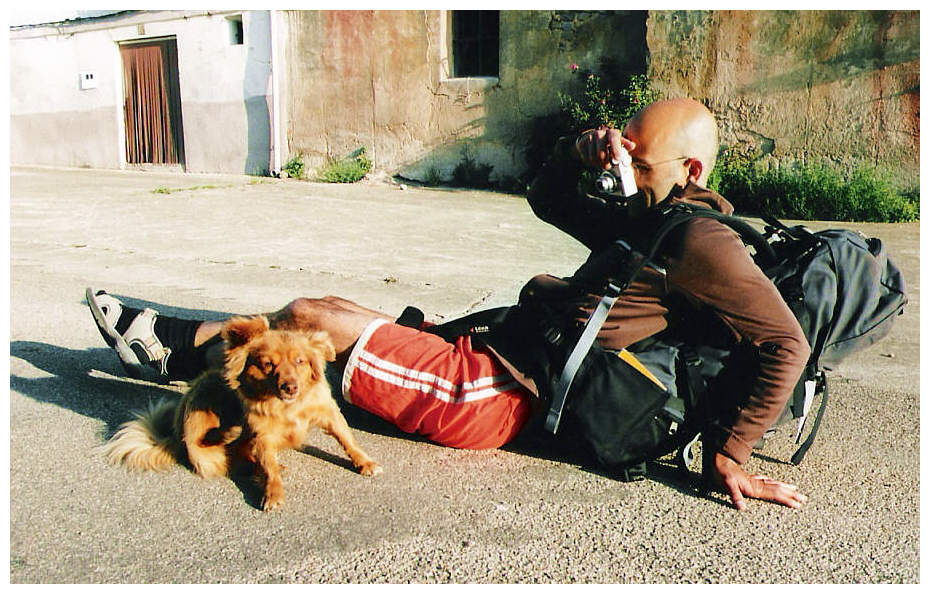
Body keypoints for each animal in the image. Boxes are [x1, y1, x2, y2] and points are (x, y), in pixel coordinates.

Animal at [101, 314, 376, 508]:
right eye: (268, 365)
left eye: (300, 361)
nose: (290, 386)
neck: (288, 408)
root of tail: (174, 438)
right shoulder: (262, 435)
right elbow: (268, 466)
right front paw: (273, 492)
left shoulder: (328, 413)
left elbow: (347, 439)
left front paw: (364, 462)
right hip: (204, 395)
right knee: (209, 445)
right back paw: (230, 438)